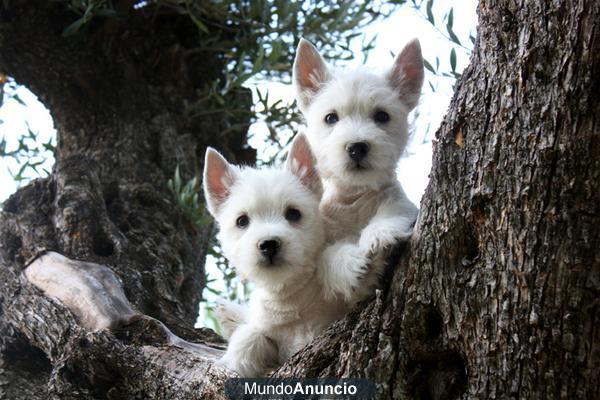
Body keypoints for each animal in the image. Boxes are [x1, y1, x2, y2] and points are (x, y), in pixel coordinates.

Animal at [204, 135, 368, 378]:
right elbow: (251, 334)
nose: (269, 244)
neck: (289, 297)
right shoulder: (270, 332)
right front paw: (236, 361)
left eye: (293, 213)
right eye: (242, 221)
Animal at [292, 38, 424, 294]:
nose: (357, 147)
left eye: (382, 116)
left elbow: (394, 209)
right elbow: (325, 258)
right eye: (331, 118)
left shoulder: (398, 199)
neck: (351, 196)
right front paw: (350, 263)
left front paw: (380, 234)